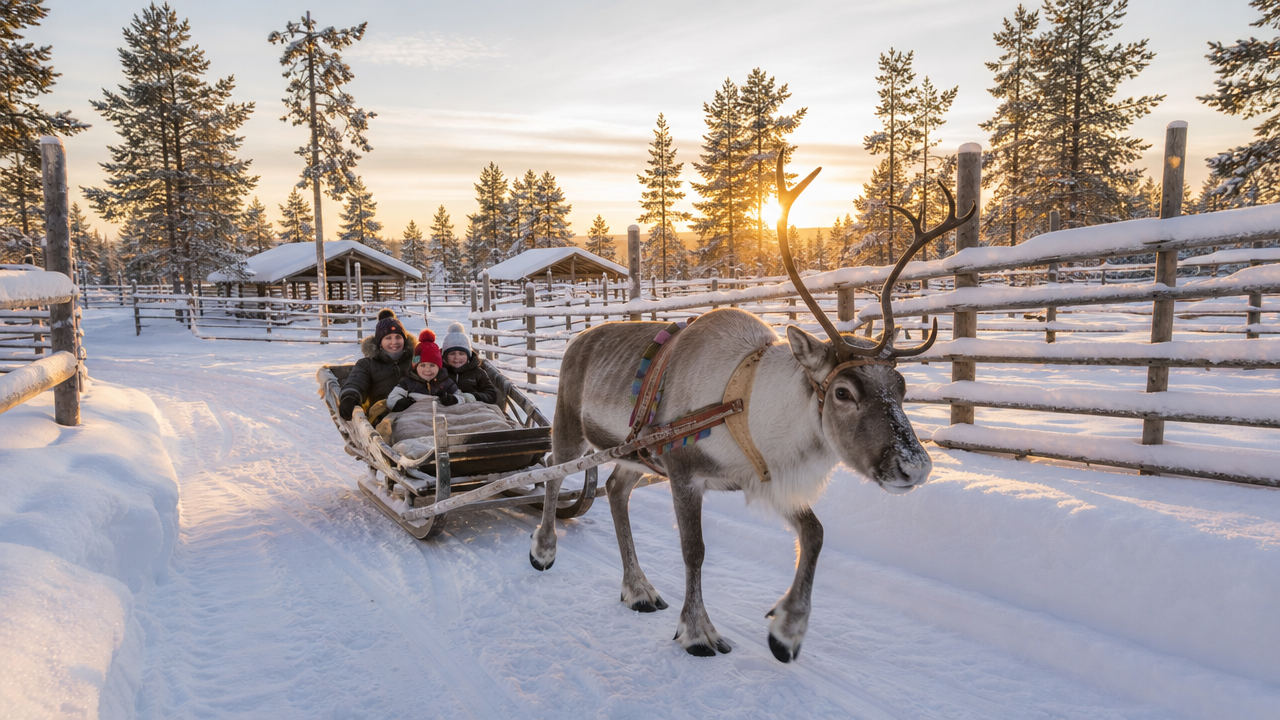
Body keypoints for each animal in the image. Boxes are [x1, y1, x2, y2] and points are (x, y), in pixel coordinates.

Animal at [530, 156, 975, 662]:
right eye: (843, 392)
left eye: (901, 386)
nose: (915, 467)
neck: (747, 406)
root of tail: (576, 339)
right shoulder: (684, 471)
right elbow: (695, 550)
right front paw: (698, 631)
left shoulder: (765, 479)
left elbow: (815, 534)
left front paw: (787, 630)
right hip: (570, 425)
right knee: (552, 468)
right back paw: (544, 550)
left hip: (635, 453)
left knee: (614, 488)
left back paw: (638, 589)